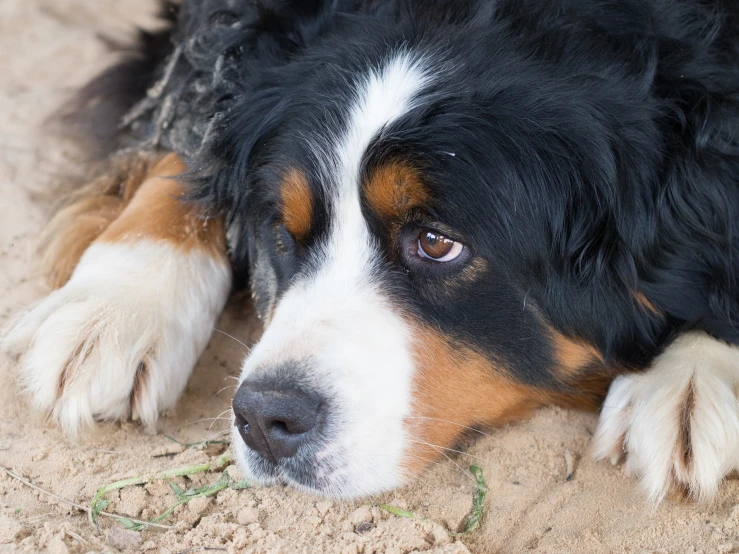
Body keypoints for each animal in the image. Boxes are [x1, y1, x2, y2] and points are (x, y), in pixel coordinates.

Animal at [1, 0, 739, 500]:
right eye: (283, 228)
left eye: (437, 243)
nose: (264, 417)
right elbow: (192, 123)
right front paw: (115, 302)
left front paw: (691, 378)